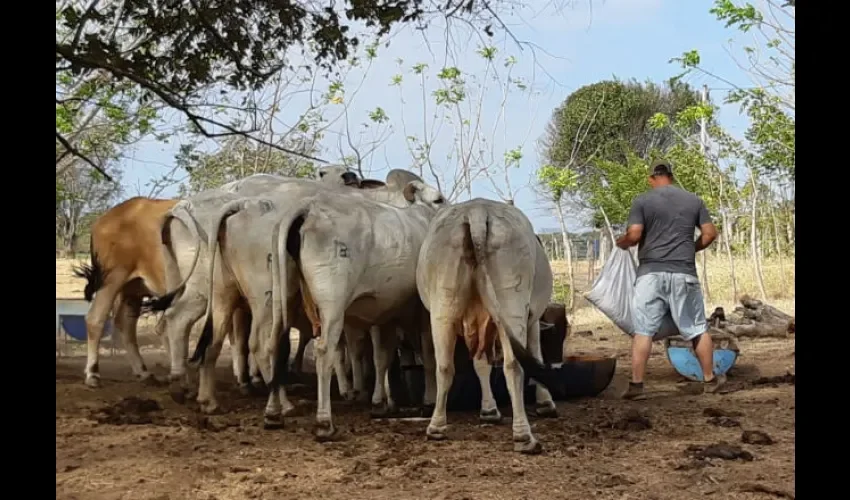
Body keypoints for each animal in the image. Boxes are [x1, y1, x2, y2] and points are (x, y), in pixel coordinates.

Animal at [270, 180, 448, 438]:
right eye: (438, 199)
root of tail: (308, 209)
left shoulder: (385, 314)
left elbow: (382, 357)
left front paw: (381, 403)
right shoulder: (422, 311)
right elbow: (429, 355)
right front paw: (427, 400)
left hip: (281, 297)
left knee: (274, 345)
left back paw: (273, 413)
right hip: (332, 304)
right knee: (324, 351)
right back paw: (324, 423)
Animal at [414, 198, 560, 454]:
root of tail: (477, 210)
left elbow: (480, 363)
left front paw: (489, 410)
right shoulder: (531, 318)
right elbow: (536, 355)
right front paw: (546, 402)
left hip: (443, 306)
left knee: (444, 366)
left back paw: (436, 427)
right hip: (512, 303)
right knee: (514, 365)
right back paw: (523, 436)